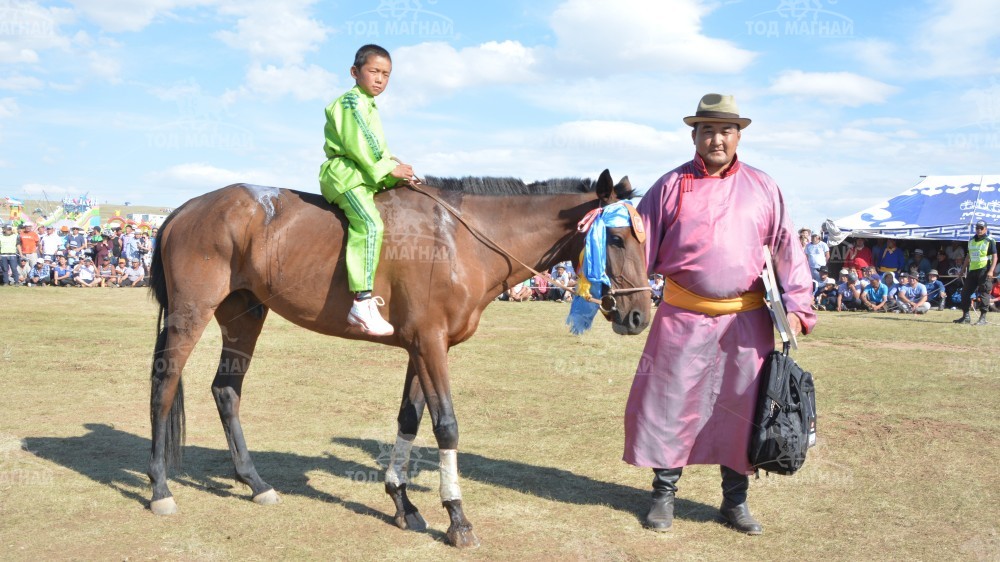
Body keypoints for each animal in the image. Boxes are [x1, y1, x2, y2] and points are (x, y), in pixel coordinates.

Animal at [145, 168, 652, 544]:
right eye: (618, 240)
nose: (639, 316)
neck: (462, 241)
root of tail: (186, 208)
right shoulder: (430, 345)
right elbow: (446, 425)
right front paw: (457, 517)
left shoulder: (420, 347)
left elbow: (409, 419)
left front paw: (402, 502)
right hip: (191, 314)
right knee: (163, 389)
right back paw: (160, 487)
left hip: (244, 315)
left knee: (226, 391)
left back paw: (255, 482)